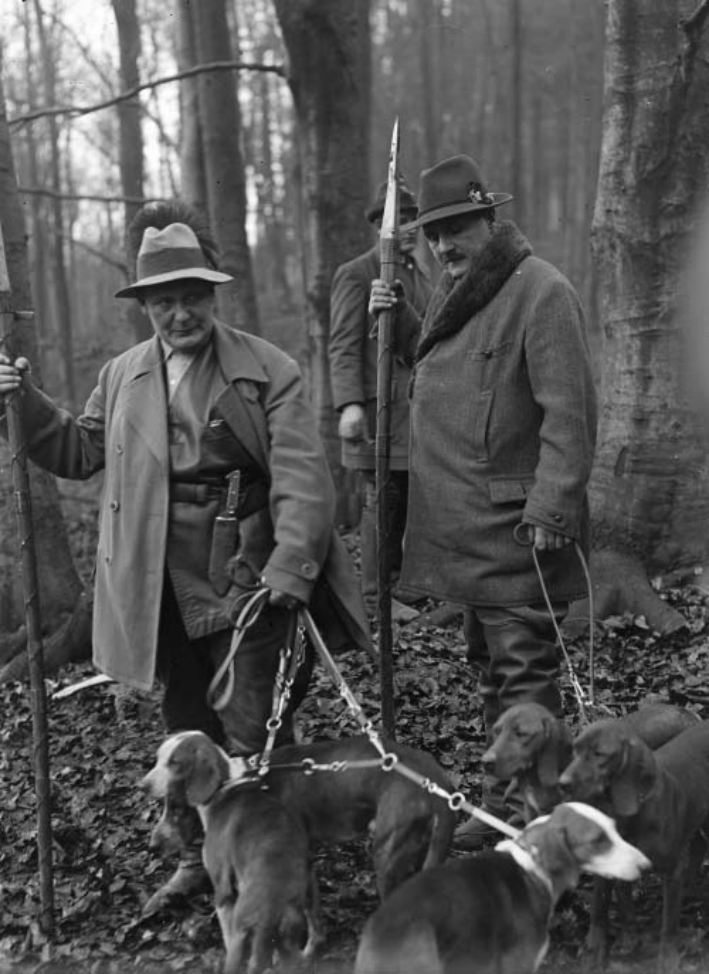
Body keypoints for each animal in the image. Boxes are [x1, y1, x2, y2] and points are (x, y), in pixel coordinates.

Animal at [142, 732, 318, 974]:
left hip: (239, 933)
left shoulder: (222, 891)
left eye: (174, 762)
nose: (142, 785)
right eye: (158, 757)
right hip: (293, 932)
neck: (224, 786)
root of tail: (271, 911)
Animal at [354, 804, 648, 974]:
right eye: (598, 840)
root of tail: (386, 924)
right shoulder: (521, 964)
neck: (532, 864)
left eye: (614, 829)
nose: (646, 865)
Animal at [560, 712, 708, 972]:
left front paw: (668, 960)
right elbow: (605, 907)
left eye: (599, 753)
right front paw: (606, 947)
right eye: (575, 750)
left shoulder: (672, 870)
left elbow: (669, 924)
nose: (562, 783)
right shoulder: (612, 865)